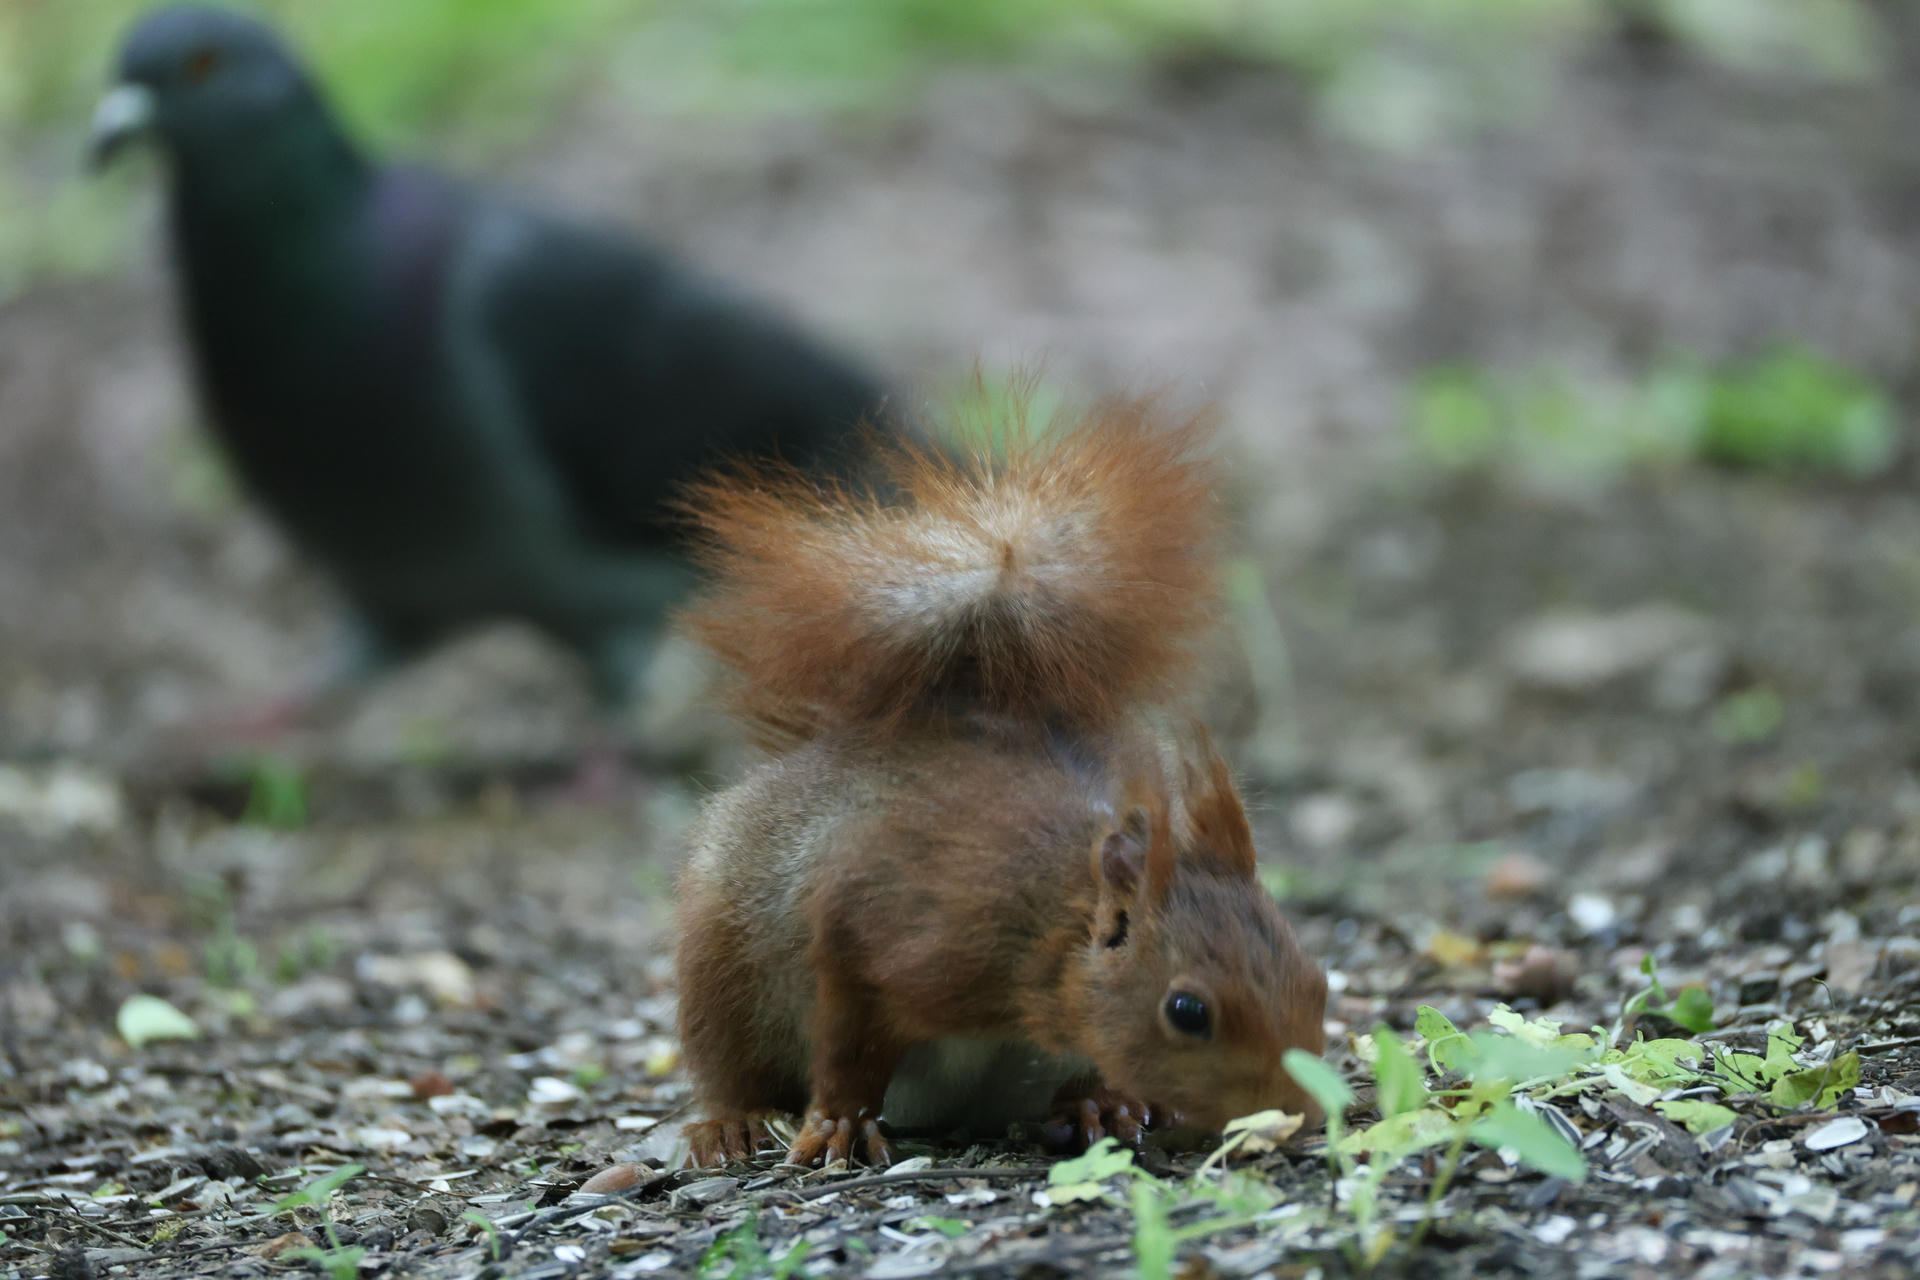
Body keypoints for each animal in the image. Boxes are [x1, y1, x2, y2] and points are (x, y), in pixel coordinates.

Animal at [672, 393, 1328, 1167]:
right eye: (1188, 1011)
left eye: (1317, 981)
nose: (1305, 1115)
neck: (1047, 913)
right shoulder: (871, 931)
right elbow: (846, 1047)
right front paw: (839, 1123)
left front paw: (1103, 1101)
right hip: (721, 966)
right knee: (727, 1063)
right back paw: (731, 1122)